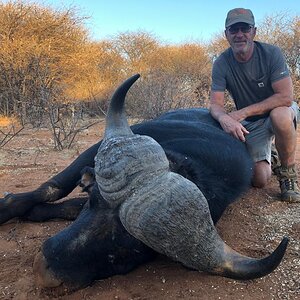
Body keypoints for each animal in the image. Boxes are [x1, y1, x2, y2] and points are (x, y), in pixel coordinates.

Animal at [1, 74, 290, 290]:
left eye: (124, 253)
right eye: (93, 203)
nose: (44, 271)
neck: (194, 159)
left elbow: (65, 205)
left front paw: (37, 212)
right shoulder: (92, 152)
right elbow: (50, 189)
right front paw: (10, 206)